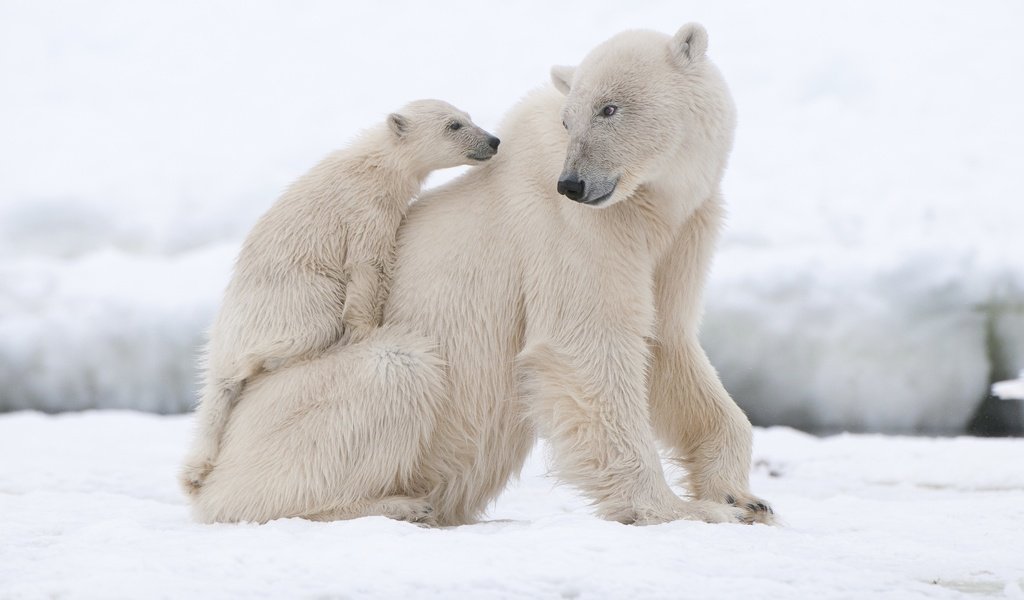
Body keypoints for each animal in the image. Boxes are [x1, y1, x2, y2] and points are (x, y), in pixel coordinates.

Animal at [180, 100, 499, 495]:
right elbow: (367, 265)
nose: (493, 140)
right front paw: (367, 330)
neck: (376, 164)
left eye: (469, 117)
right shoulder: (365, 209)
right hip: (293, 298)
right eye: (453, 125)